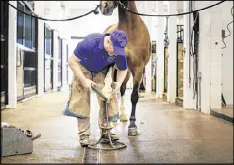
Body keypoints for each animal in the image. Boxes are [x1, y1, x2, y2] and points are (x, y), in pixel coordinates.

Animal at [99, 0, 152, 136]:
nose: (103, 6)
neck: (131, 30)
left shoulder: (138, 69)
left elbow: (134, 96)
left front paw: (132, 126)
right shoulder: (114, 66)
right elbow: (112, 90)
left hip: (126, 72)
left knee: (122, 89)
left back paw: (122, 115)